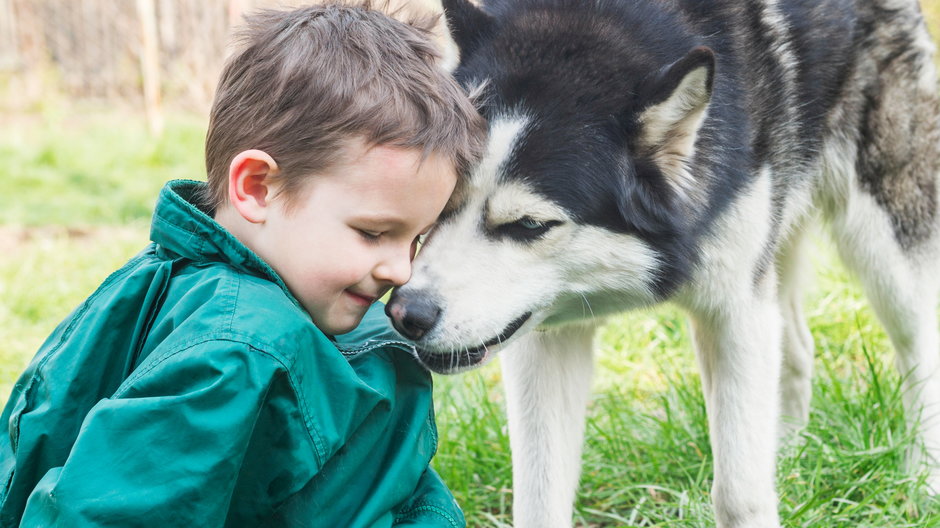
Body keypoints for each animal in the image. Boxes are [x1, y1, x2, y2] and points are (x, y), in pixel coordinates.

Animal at [384, 0, 940, 524]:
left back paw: (920, 485)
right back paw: (788, 461)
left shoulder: (735, 310)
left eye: (529, 225)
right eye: (440, 202)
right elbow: (539, 501)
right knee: (798, 349)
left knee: (918, 349)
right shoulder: (545, 339)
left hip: (883, 245)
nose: (407, 314)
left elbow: (738, 494)